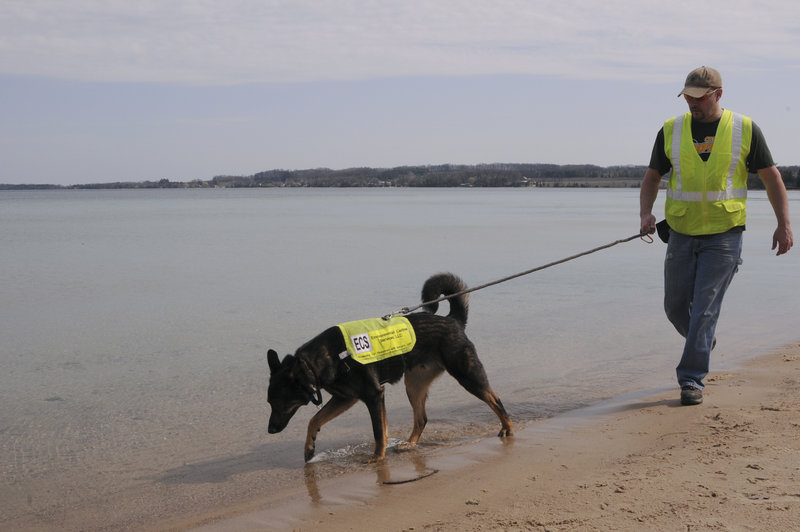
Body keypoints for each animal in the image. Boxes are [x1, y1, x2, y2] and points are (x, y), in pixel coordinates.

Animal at [268, 270, 512, 462]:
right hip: (414, 385)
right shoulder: (346, 399)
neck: (318, 361)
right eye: (270, 403)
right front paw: (309, 448)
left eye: (278, 402)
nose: (270, 430)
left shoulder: (373, 395)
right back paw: (410, 444)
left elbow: (378, 432)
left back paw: (508, 429)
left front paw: (377, 458)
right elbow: (315, 420)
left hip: (467, 375)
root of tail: (452, 320)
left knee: (496, 400)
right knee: (422, 418)